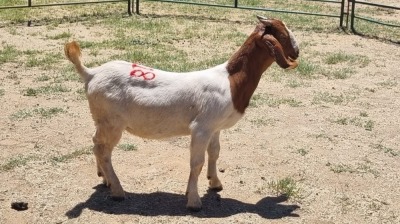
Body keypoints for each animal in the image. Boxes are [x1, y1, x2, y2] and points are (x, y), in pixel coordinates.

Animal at [64, 14, 298, 211]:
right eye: (283, 34)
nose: (297, 52)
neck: (231, 81)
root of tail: (91, 74)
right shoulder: (201, 128)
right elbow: (197, 162)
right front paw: (194, 201)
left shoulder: (215, 127)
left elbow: (214, 153)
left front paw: (214, 183)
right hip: (112, 123)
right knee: (103, 151)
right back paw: (117, 190)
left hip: (102, 121)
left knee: (96, 143)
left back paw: (104, 178)